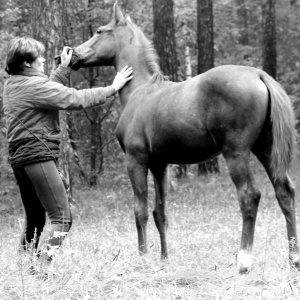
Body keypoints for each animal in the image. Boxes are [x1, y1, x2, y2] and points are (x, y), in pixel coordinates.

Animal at [75, 2, 300, 274]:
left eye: (99, 31)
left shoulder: (136, 160)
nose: (72, 55)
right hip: (266, 150)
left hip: (236, 153)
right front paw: (164, 259)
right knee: (284, 192)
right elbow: (159, 212)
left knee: (249, 196)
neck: (140, 90)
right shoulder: (160, 165)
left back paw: (243, 261)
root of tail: (259, 75)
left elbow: (140, 210)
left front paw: (143, 258)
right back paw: (293, 258)